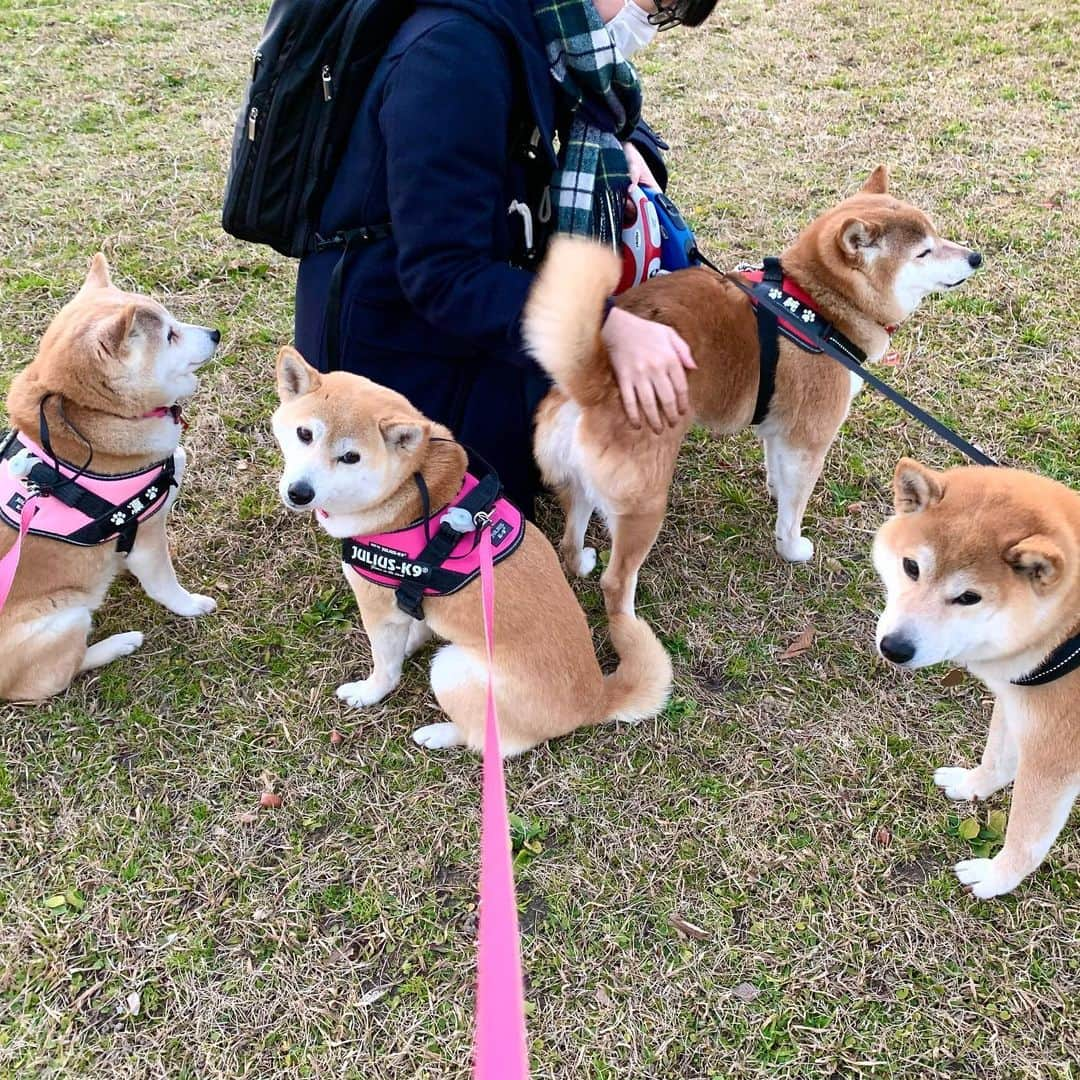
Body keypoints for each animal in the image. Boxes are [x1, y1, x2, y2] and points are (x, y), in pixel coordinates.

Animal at [0, 252, 219, 699]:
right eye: (169, 335)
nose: (216, 333)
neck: (95, 414)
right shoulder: (148, 532)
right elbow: (164, 585)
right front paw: (191, 606)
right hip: (63, 620)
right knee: (60, 675)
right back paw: (120, 644)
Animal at [272, 349, 673, 756]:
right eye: (304, 434)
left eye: (350, 457)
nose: (299, 493)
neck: (412, 487)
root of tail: (594, 699)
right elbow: (413, 625)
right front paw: (411, 641)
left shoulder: (376, 603)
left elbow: (385, 668)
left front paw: (369, 692)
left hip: (451, 670)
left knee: (493, 740)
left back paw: (439, 733)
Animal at [520, 162, 980, 617]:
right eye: (924, 252)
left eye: (937, 235)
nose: (976, 257)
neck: (819, 307)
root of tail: (592, 384)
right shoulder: (809, 440)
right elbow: (794, 510)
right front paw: (792, 548)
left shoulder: (780, 431)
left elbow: (779, 473)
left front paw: (775, 490)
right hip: (643, 503)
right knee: (616, 582)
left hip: (579, 485)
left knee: (569, 543)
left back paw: (582, 560)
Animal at [876, 460, 1080, 898]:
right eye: (911, 567)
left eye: (969, 598)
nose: (894, 647)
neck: (1068, 632)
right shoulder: (1017, 702)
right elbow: (997, 759)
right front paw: (973, 785)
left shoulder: (1055, 758)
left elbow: (1026, 834)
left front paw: (997, 877)